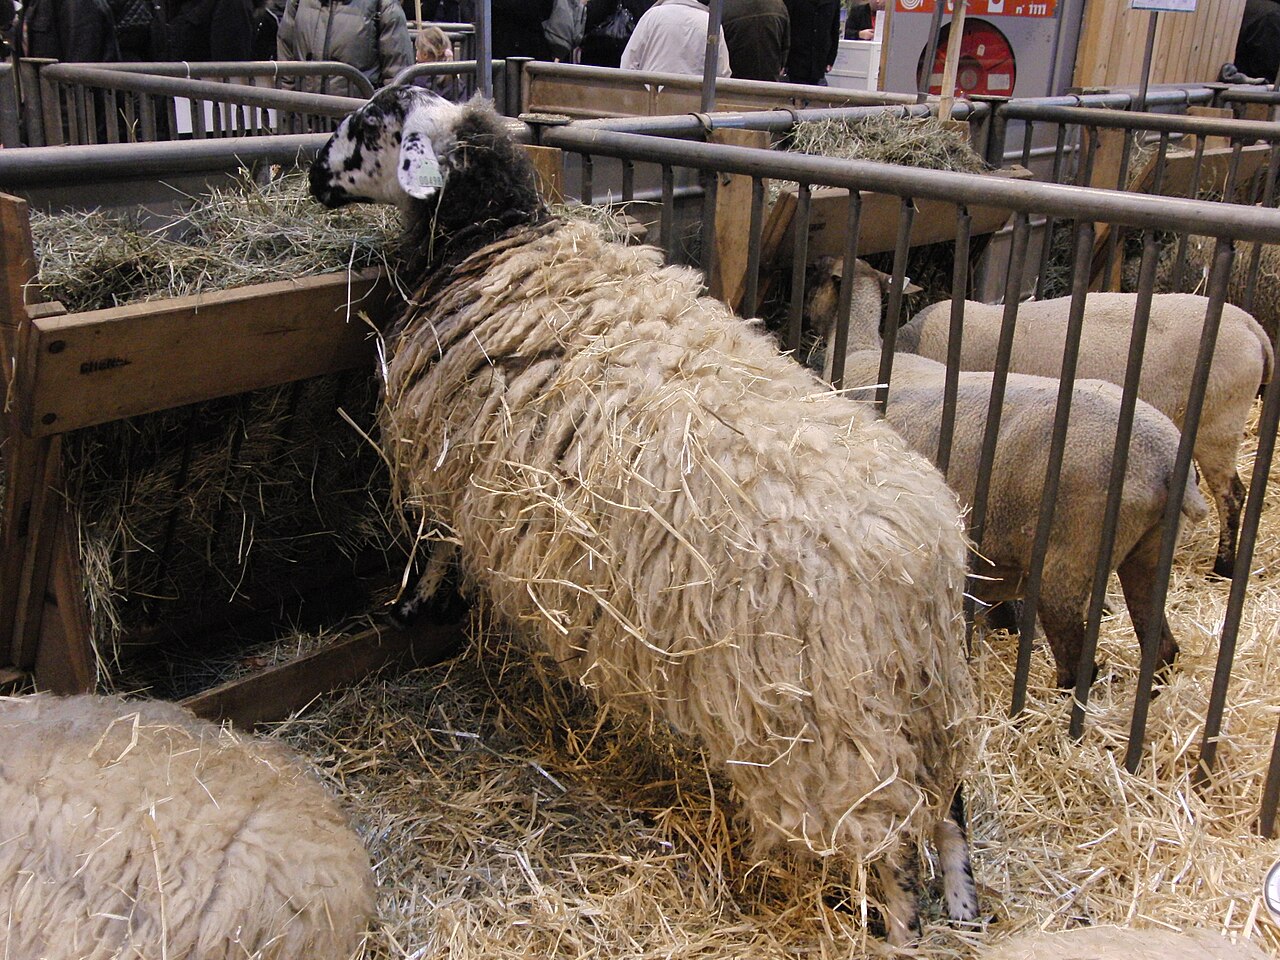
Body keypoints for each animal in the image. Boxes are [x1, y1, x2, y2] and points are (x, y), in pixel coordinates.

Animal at [310, 87, 980, 945]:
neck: (491, 234)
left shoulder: (448, 456)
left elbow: (437, 542)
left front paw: (411, 604)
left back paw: (896, 926)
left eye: (368, 122)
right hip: (927, 704)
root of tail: (928, 559)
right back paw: (961, 905)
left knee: (886, 838)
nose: (311, 175)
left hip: (828, 730)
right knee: (948, 811)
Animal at [808, 257, 1210, 690]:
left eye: (819, 277)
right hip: (1150, 552)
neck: (859, 349)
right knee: (1163, 645)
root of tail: (1164, 459)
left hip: (1067, 560)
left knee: (1078, 664)